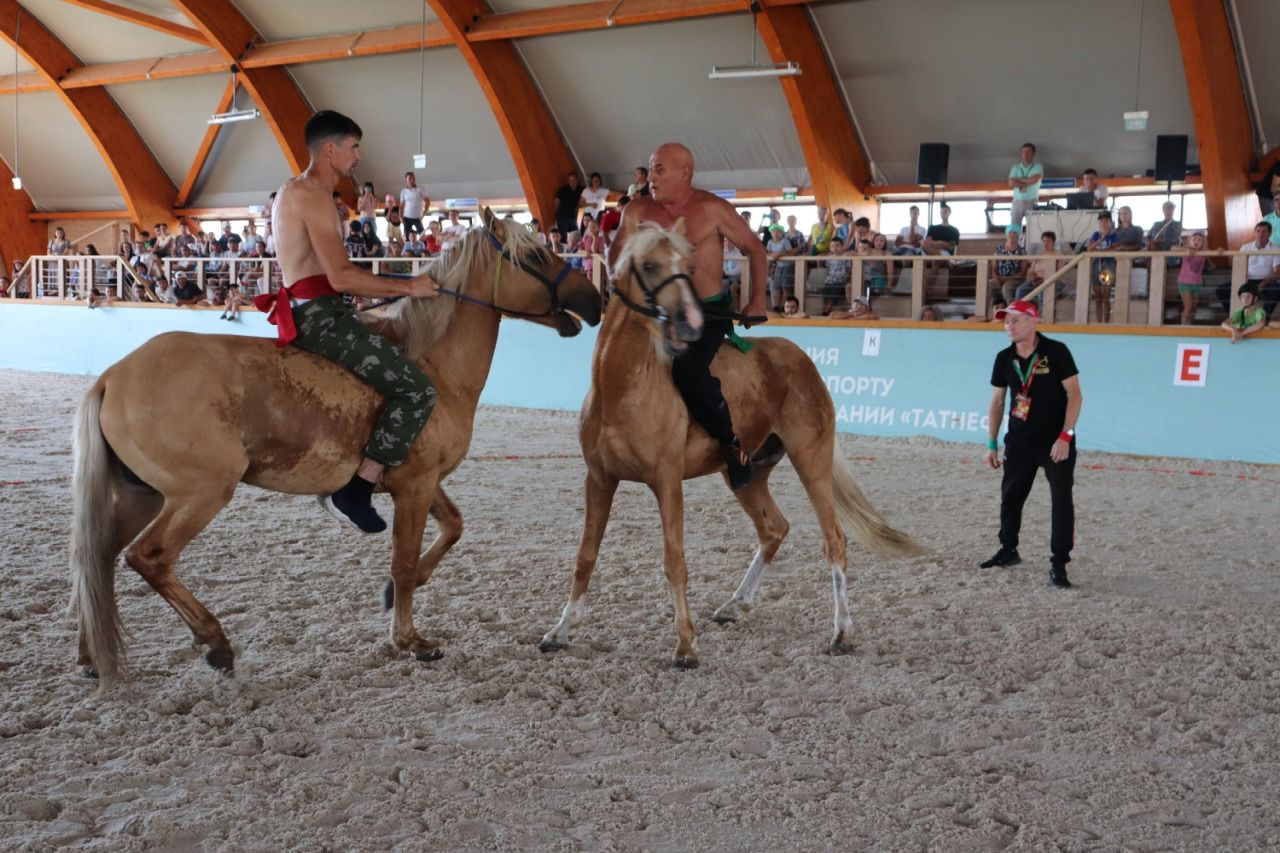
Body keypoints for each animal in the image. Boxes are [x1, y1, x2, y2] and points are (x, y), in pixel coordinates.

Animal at [72, 211, 601, 686]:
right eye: (533, 256)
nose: (594, 299)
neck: (432, 363)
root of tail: (112, 377)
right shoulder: (414, 485)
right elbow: (404, 561)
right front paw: (409, 639)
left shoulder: (422, 482)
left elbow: (452, 528)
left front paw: (395, 595)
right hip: (198, 494)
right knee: (149, 558)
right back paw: (214, 640)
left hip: (143, 496)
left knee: (95, 561)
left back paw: (91, 656)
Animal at [537, 219, 921, 666]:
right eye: (649, 265)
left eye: (686, 264)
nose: (689, 321)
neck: (622, 386)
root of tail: (801, 359)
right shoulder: (599, 479)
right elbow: (585, 556)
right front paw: (561, 630)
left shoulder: (666, 483)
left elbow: (675, 561)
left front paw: (686, 645)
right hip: (746, 474)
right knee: (774, 528)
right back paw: (735, 605)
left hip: (811, 462)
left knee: (834, 540)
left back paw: (842, 632)